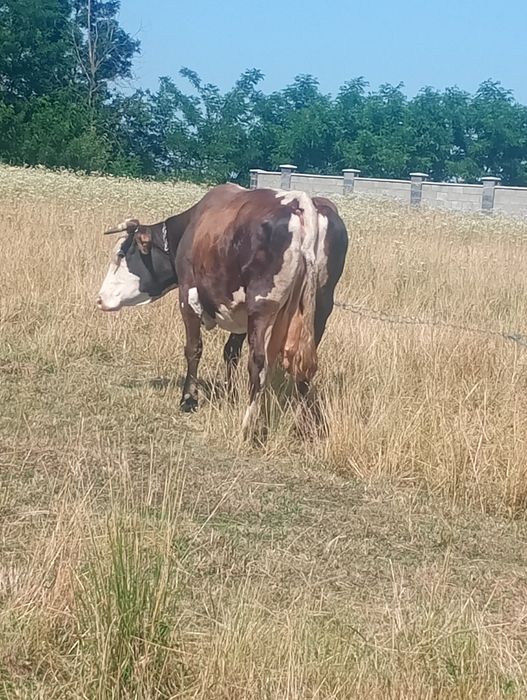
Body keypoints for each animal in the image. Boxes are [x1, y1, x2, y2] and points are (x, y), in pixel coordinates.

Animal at [96, 184, 348, 437]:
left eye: (121, 254)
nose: (99, 299)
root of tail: (300, 202)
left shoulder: (188, 297)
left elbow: (193, 348)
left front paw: (188, 399)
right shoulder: (239, 309)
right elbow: (230, 352)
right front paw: (229, 393)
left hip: (262, 306)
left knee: (259, 363)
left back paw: (249, 426)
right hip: (319, 310)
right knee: (303, 367)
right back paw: (303, 426)